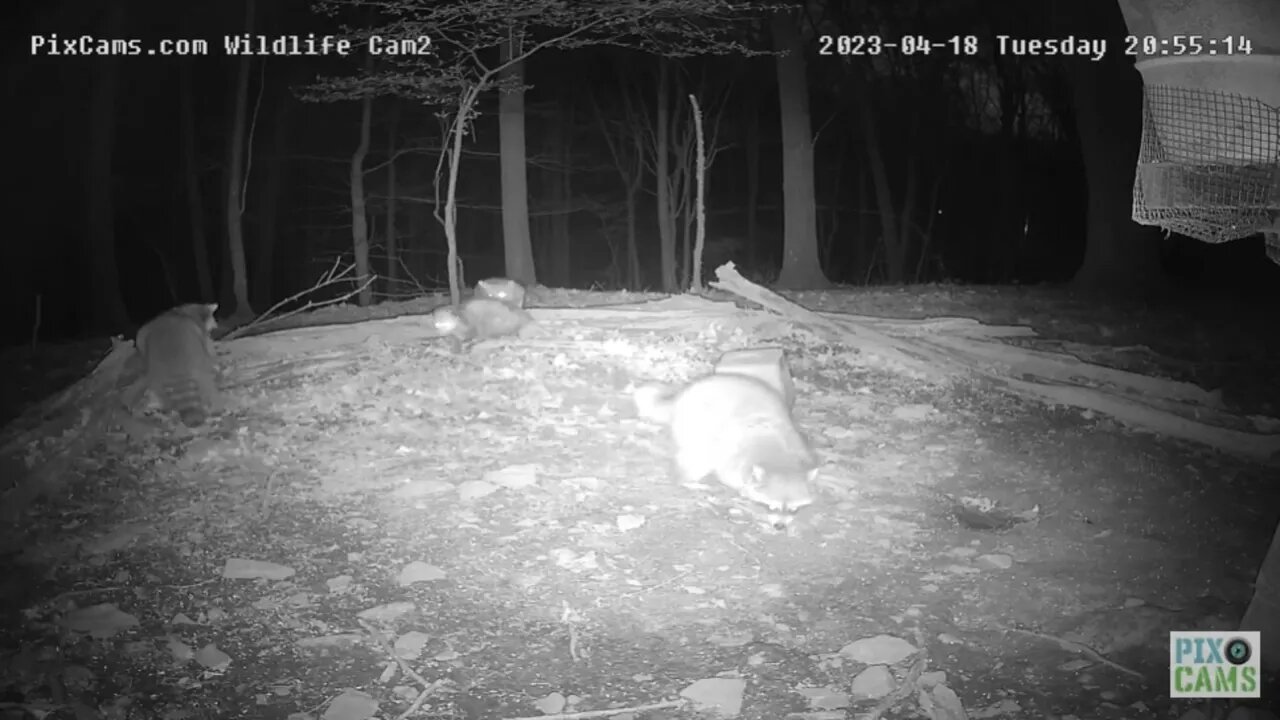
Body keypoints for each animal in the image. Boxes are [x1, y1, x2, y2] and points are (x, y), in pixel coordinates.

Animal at [633, 373, 819, 529]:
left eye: (794, 509)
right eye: (771, 506)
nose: (780, 527)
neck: (781, 459)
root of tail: (684, 393)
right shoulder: (734, 458)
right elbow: (729, 475)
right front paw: (743, 491)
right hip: (698, 425)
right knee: (698, 456)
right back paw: (686, 480)